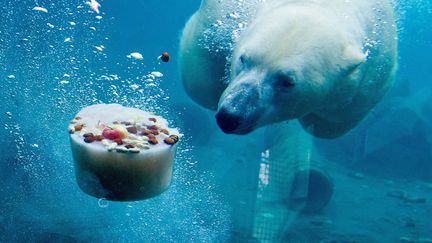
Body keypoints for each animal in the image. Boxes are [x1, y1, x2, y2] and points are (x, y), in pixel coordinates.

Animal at [179, 0, 398, 139]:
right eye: (244, 59)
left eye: (287, 82)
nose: (230, 116)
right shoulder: (223, 14)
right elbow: (199, 79)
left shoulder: (375, 72)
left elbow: (334, 120)